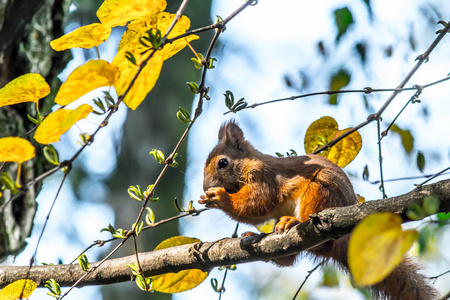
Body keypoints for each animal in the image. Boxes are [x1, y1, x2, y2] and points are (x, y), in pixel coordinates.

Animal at [199, 120, 438, 298]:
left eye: (222, 163)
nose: (205, 186)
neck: (249, 164)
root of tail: (345, 241)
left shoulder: (265, 177)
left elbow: (257, 203)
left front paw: (219, 197)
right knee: (288, 259)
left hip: (319, 192)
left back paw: (292, 222)